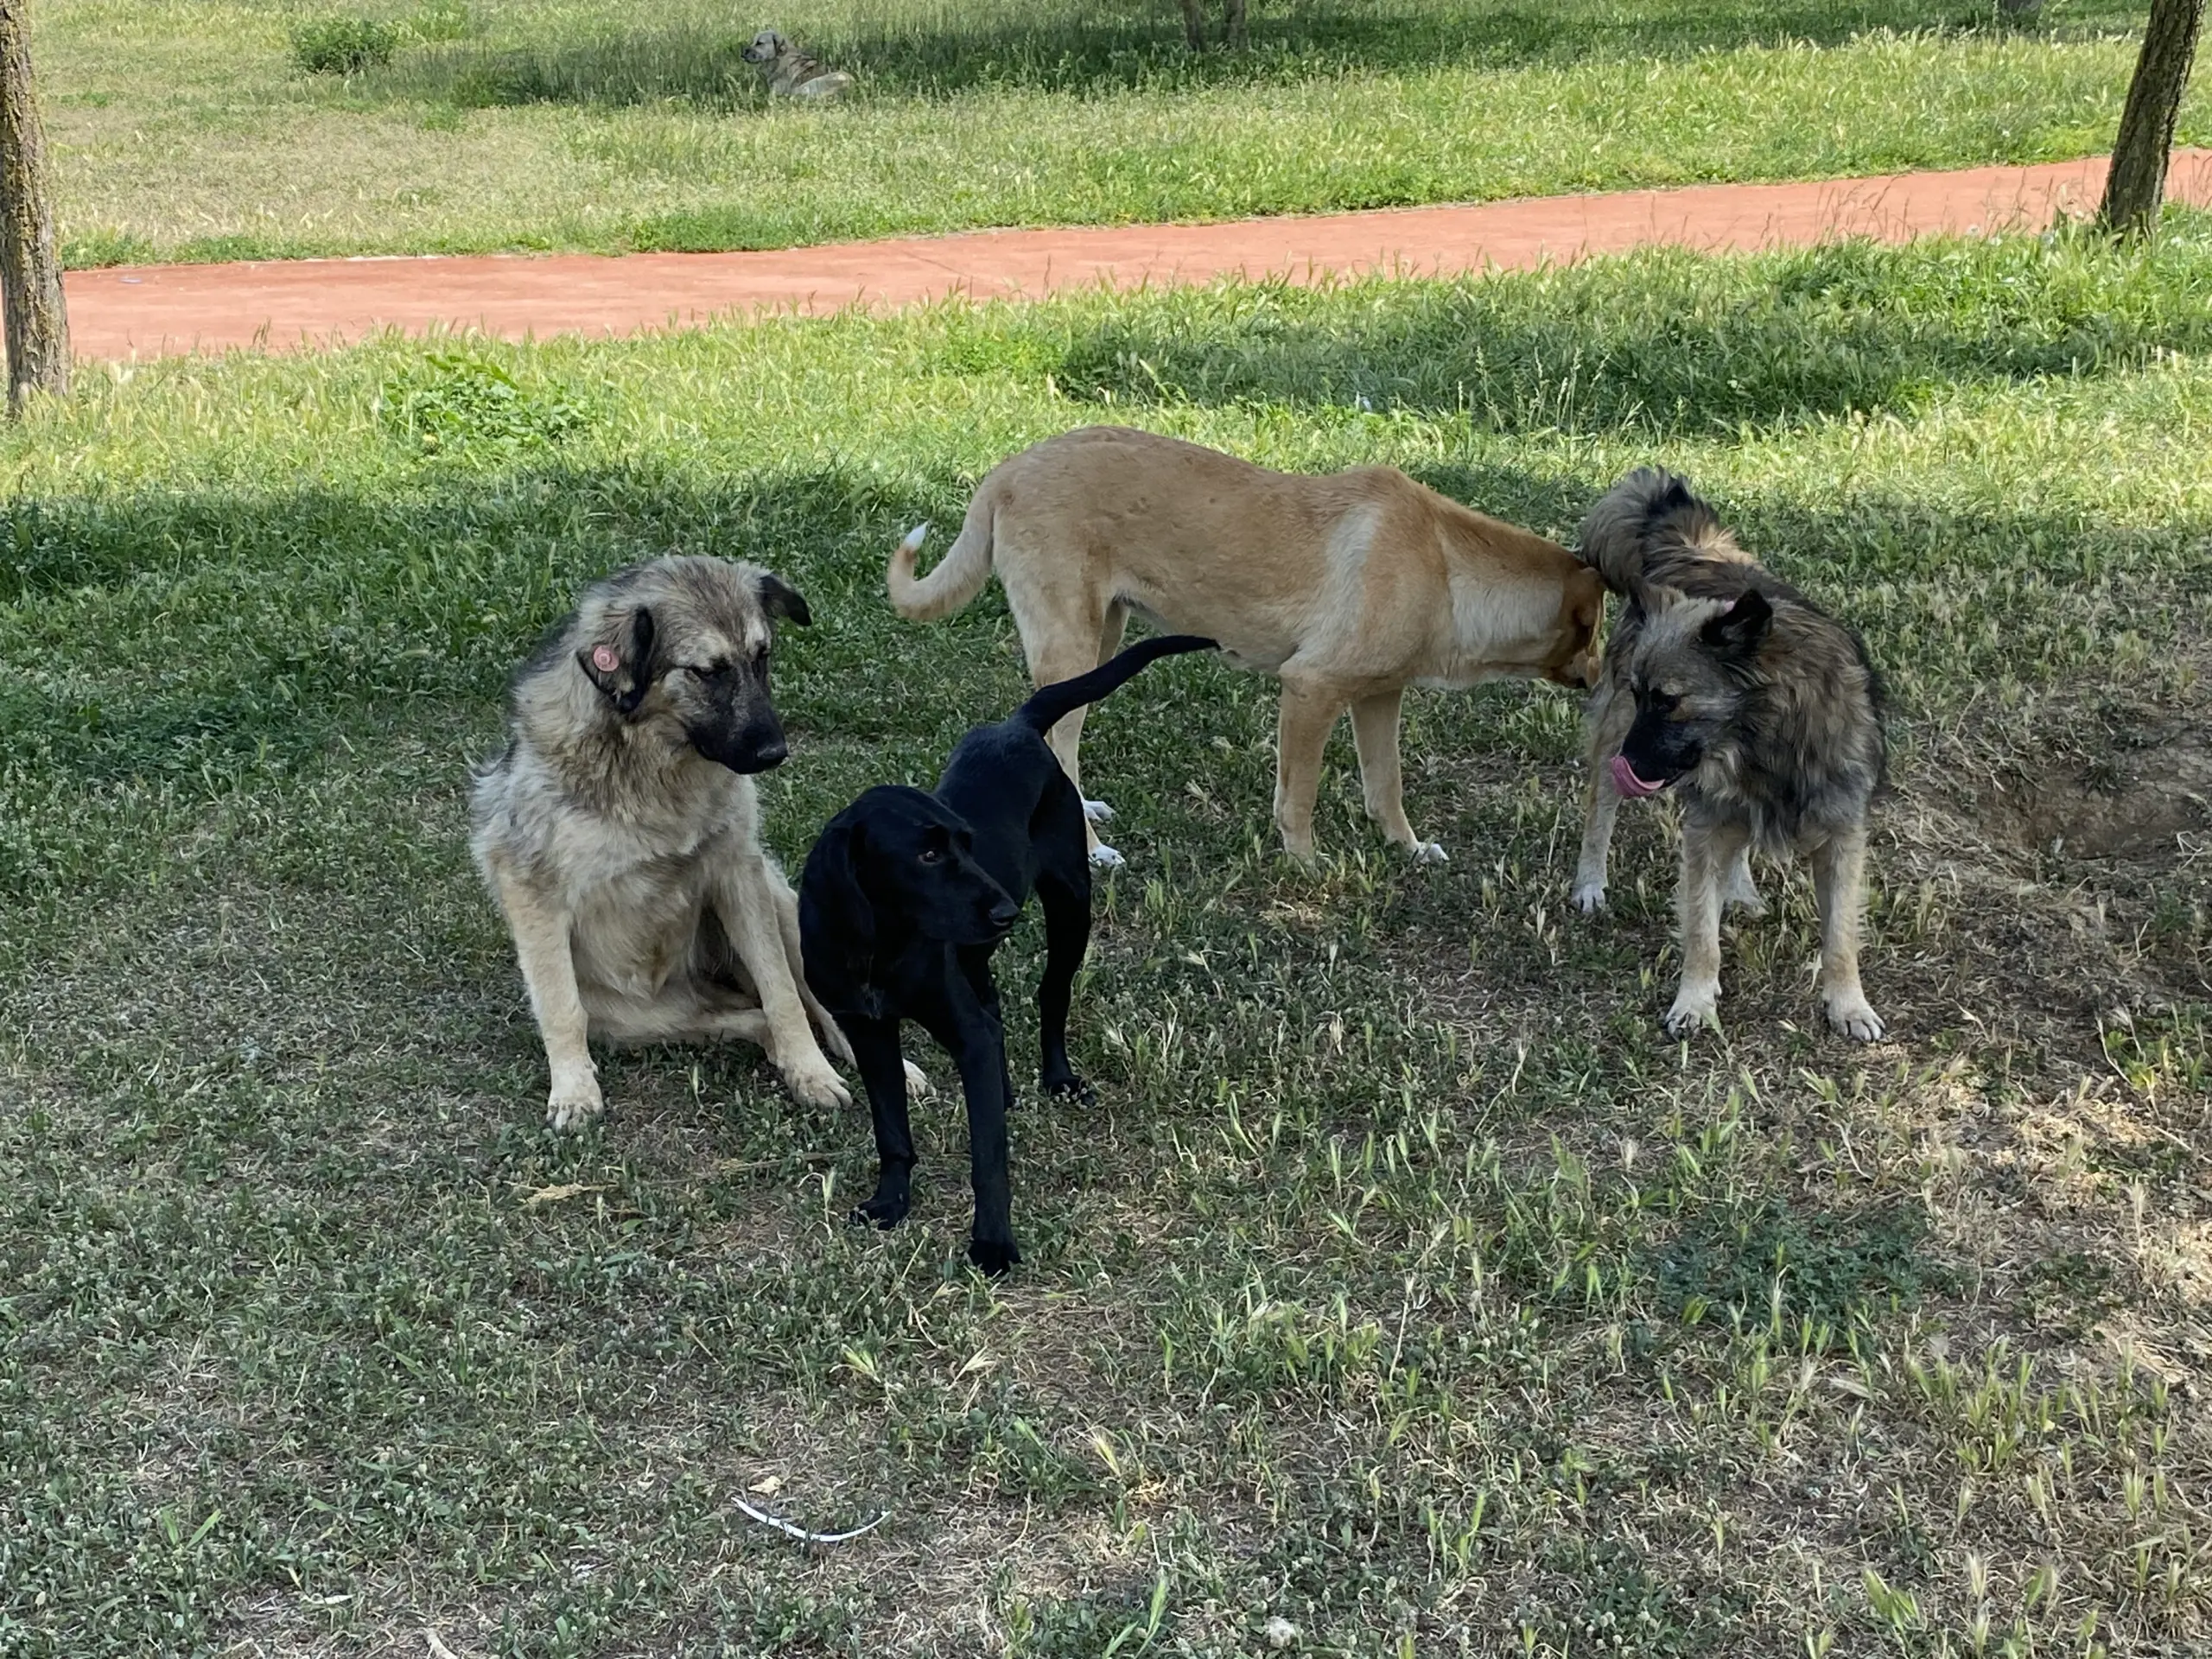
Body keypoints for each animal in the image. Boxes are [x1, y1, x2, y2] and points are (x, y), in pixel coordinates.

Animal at [467, 559, 854, 1132]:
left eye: (762, 656)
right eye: (708, 671)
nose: (774, 753)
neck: (653, 763)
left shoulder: (739, 871)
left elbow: (781, 988)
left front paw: (813, 1072)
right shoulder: (528, 885)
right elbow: (560, 1006)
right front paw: (574, 1090)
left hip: (783, 904)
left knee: (814, 1001)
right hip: (641, 1020)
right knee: (752, 1017)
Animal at [739, 29, 849, 99]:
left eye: (759, 43)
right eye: (753, 42)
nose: (742, 54)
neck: (781, 58)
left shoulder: (776, 91)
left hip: (803, 87)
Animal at [796, 632, 1211, 1274]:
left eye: (967, 843)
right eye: (926, 855)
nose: (1004, 911)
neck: (877, 947)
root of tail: (1017, 724)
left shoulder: (958, 1029)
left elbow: (988, 1156)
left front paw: (992, 1242)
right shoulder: (868, 1032)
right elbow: (892, 1131)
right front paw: (891, 1202)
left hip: (1070, 907)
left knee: (1050, 994)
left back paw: (1058, 1079)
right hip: (977, 952)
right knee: (994, 1008)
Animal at [889, 424, 1601, 871]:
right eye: (1598, 630)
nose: (1603, 679)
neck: (1446, 566)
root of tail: (1005, 471)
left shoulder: (1379, 696)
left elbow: (1386, 786)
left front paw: (1407, 849)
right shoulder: (1310, 689)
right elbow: (1299, 798)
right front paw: (1309, 867)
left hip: (1100, 640)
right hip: (1073, 644)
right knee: (1061, 743)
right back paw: (1091, 849)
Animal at [1574, 468, 1885, 1044]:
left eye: (1668, 701)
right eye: (1639, 694)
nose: (1629, 766)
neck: (1768, 743)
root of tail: (1693, 547)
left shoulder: (1841, 837)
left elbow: (1840, 937)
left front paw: (1849, 1005)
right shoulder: (1704, 826)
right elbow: (1701, 929)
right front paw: (1694, 1002)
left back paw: (1740, 889)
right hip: (1613, 743)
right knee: (1599, 814)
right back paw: (1590, 884)